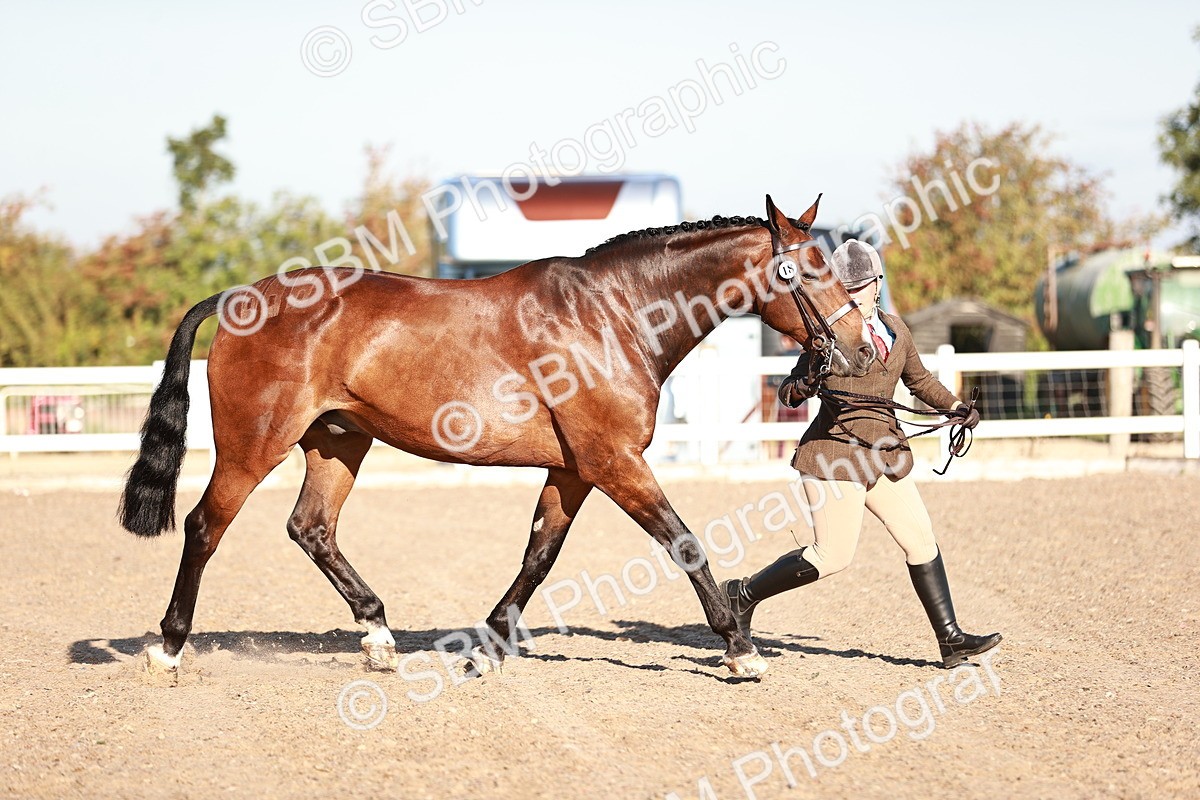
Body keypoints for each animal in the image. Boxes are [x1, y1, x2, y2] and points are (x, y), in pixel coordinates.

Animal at [119, 194, 875, 680]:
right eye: (808, 270)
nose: (863, 345)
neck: (614, 313)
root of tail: (240, 298)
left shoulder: (575, 469)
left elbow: (539, 555)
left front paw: (488, 644)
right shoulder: (614, 461)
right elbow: (684, 541)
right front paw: (740, 647)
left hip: (338, 442)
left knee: (312, 528)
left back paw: (380, 636)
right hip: (254, 446)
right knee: (205, 526)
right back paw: (169, 647)